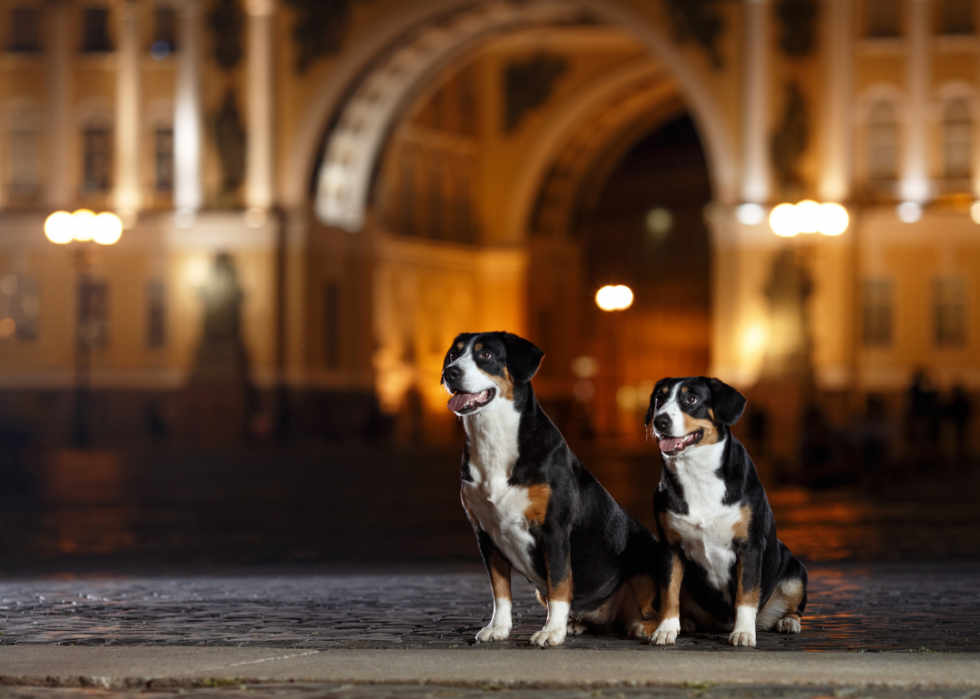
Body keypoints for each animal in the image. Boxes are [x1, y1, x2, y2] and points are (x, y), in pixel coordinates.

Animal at [446, 330, 668, 648]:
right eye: (454, 354)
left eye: (485, 354)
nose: (450, 373)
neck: (493, 440)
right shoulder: (486, 535)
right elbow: (500, 591)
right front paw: (498, 628)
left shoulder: (555, 530)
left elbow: (560, 586)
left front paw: (552, 631)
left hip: (648, 568)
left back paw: (644, 628)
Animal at [644, 380, 804, 648]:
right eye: (659, 399)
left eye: (691, 399)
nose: (660, 421)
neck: (697, 472)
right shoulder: (670, 548)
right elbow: (669, 592)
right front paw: (665, 629)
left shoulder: (749, 546)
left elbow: (746, 595)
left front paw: (744, 632)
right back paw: (685, 622)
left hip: (795, 575)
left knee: (791, 607)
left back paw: (788, 622)